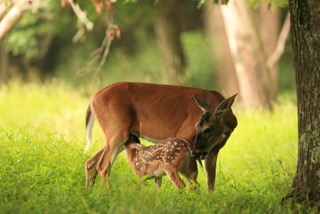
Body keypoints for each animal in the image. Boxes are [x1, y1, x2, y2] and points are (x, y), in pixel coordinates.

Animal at [85, 82, 238, 192]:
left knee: (91, 162)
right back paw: (109, 193)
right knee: (102, 166)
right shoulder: (185, 136)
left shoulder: (214, 150)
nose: (196, 153)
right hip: (116, 130)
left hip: (120, 135)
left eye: (208, 129)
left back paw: (90, 193)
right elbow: (194, 178)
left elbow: (210, 181)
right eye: (196, 126)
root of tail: (92, 100)